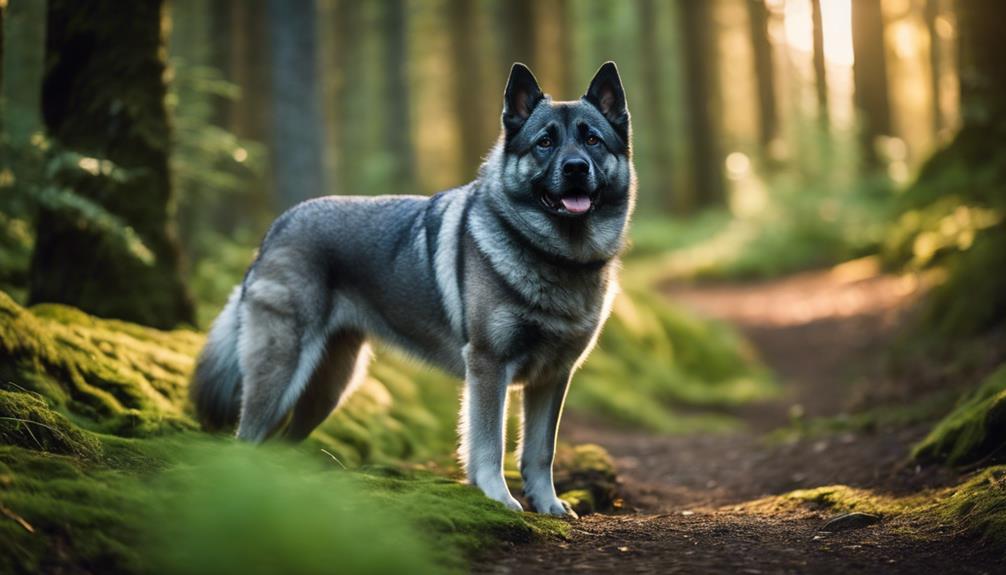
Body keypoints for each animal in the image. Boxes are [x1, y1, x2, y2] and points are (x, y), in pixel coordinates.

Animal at [190, 61, 635, 514]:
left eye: (592, 140)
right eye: (545, 142)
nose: (576, 167)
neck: (558, 257)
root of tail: (276, 229)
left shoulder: (553, 378)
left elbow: (540, 451)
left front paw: (548, 506)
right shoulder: (488, 367)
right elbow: (488, 445)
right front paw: (498, 499)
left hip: (327, 388)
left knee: (278, 443)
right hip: (280, 374)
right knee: (246, 440)